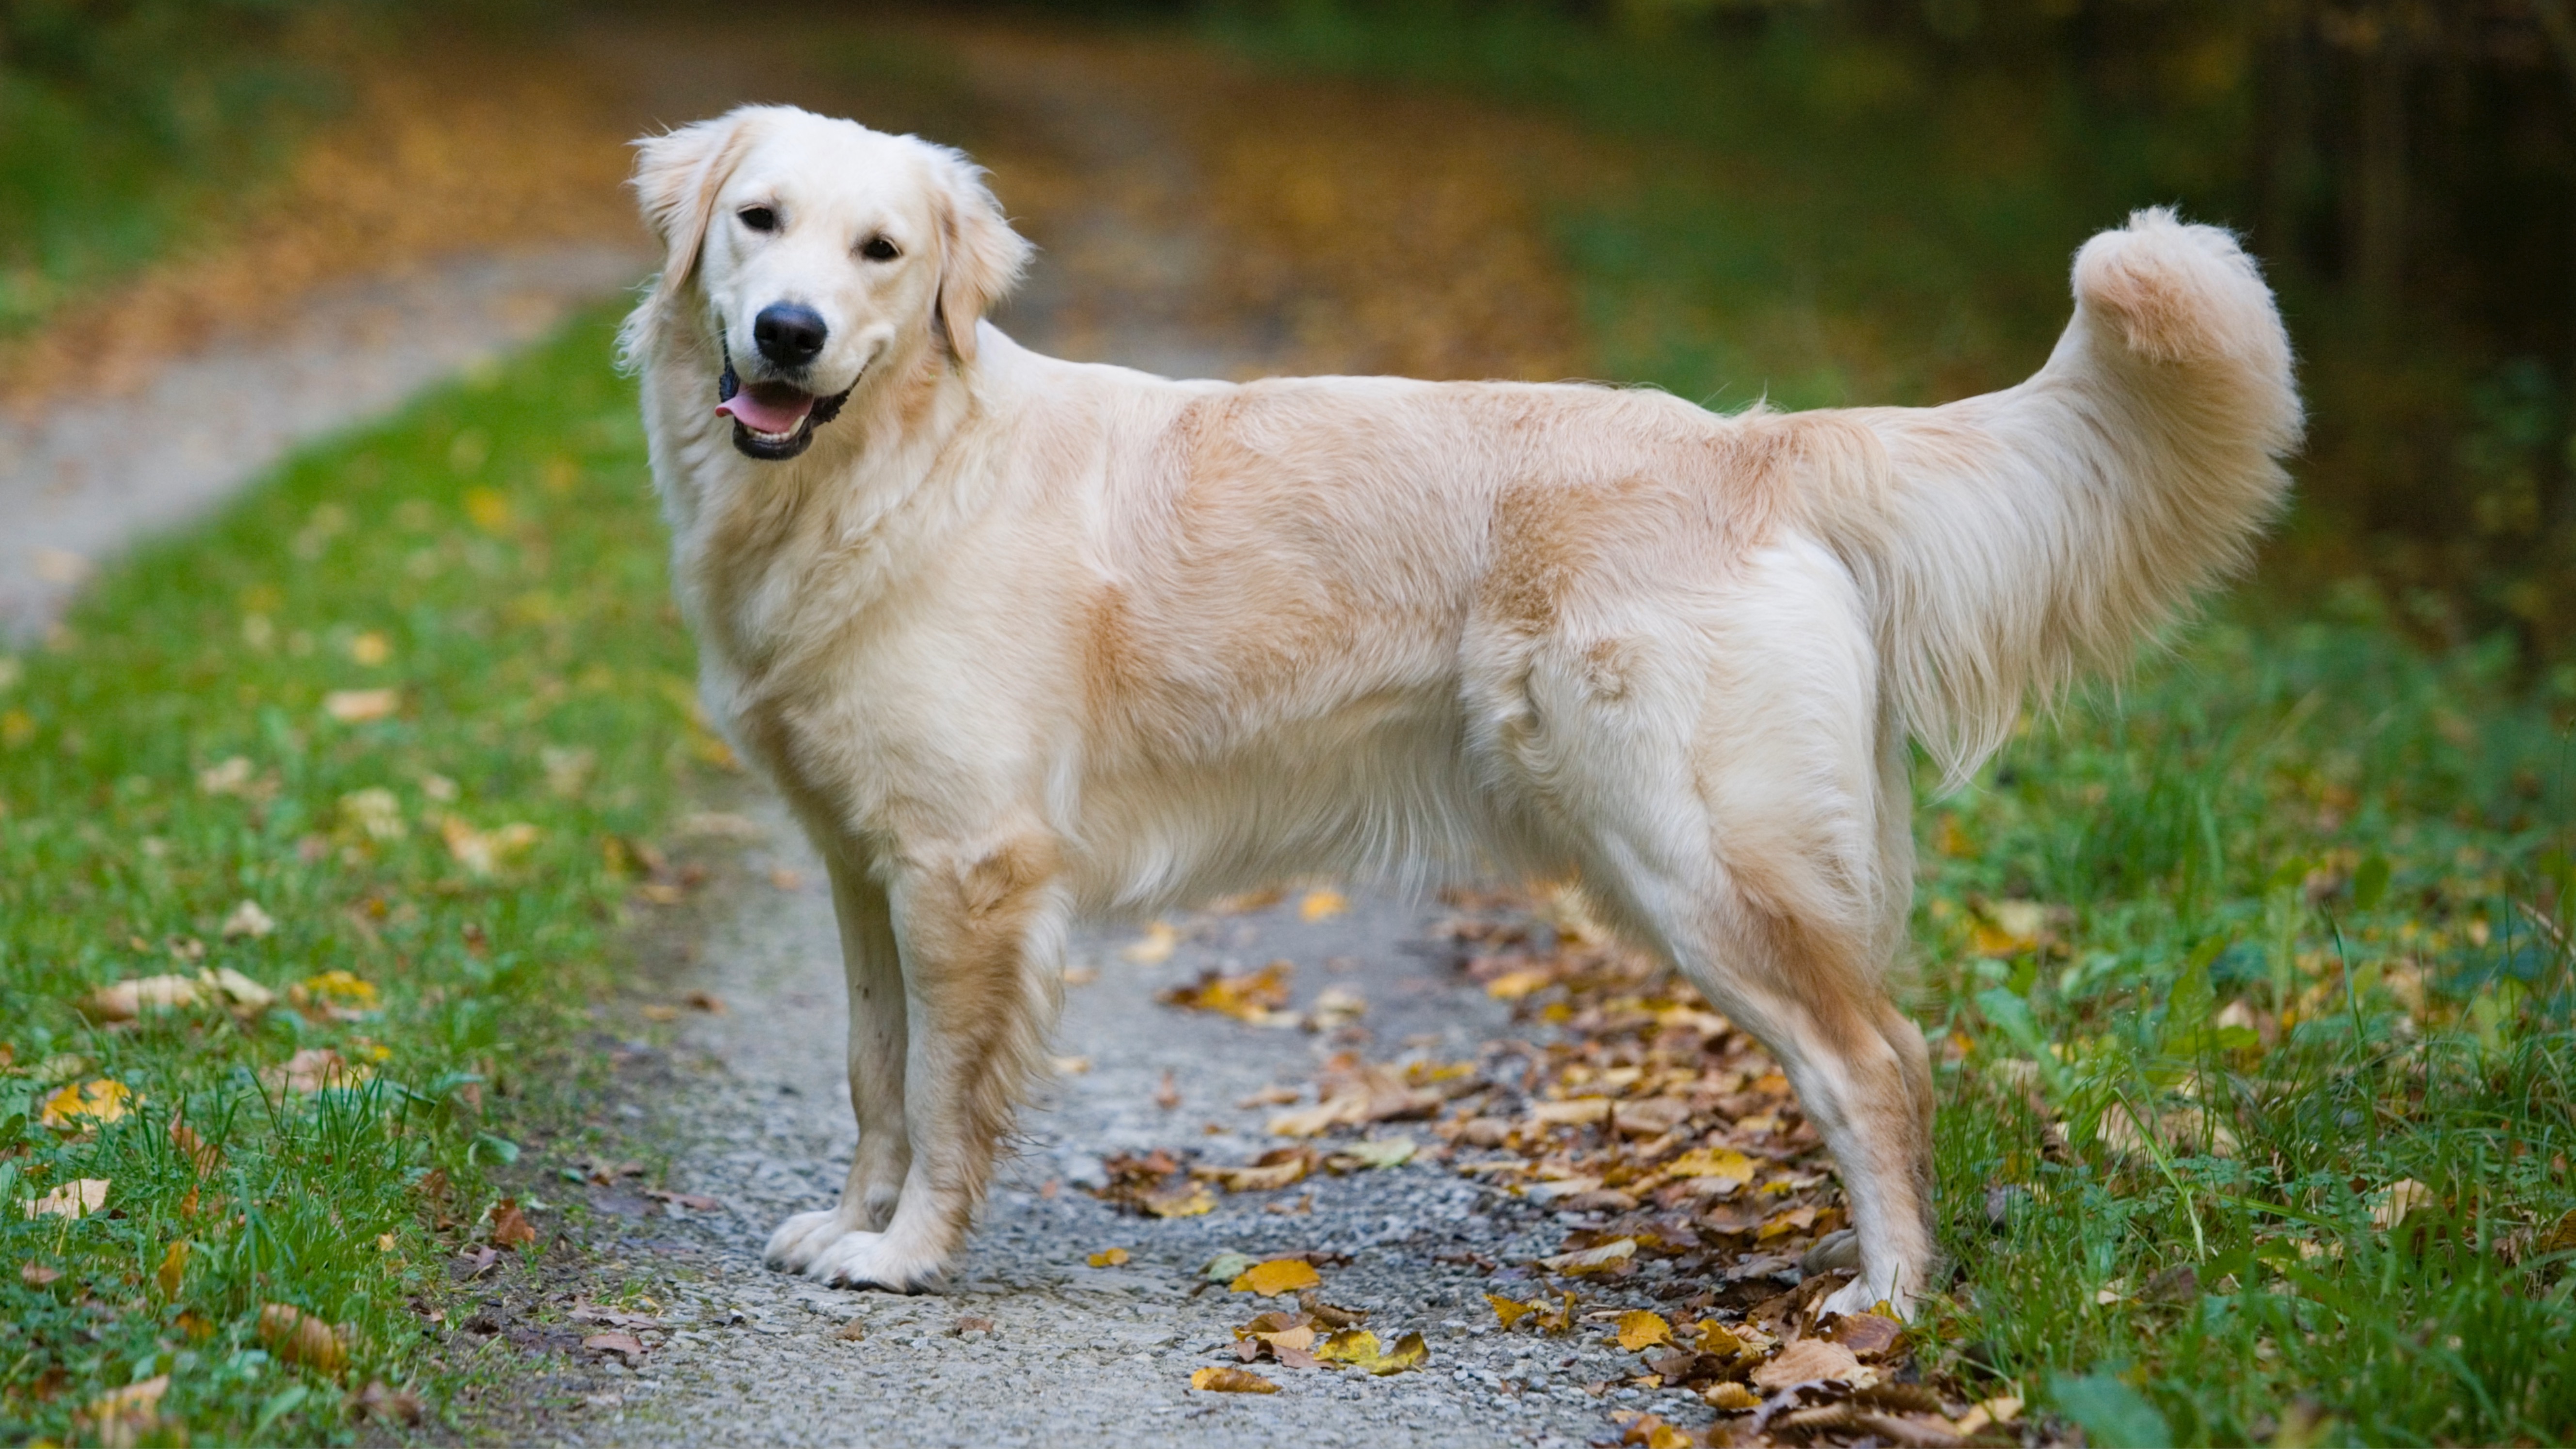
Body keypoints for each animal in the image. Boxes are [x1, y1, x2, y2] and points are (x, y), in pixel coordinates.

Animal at [618, 105, 2297, 1328]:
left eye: (883, 252)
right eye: (759, 221)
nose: (786, 332)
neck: (892, 466)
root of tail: (1755, 445)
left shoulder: (971, 868)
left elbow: (944, 1092)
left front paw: (906, 1254)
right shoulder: (864, 866)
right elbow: (873, 1071)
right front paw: (850, 1219)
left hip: (1696, 858)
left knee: (1875, 1061)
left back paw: (1884, 1301)